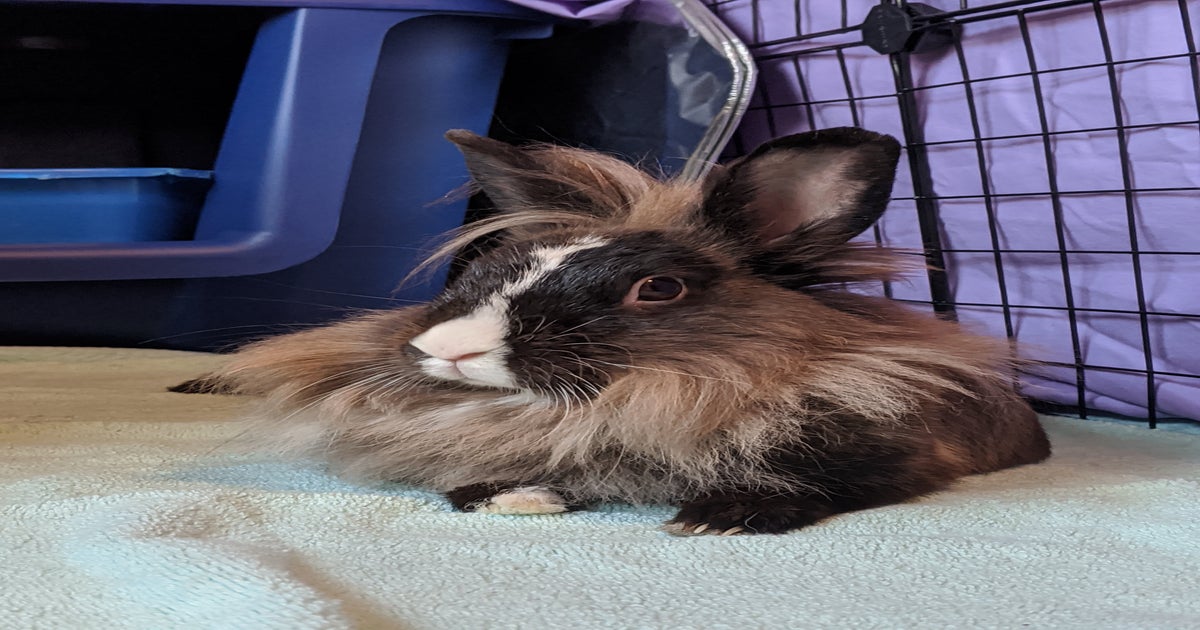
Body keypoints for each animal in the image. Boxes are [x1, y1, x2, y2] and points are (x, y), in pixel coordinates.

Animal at [212, 127, 1051, 536]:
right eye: (497, 265)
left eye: (659, 289)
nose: (447, 351)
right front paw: (507, 499)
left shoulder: (899, 449)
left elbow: (832, 480)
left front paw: (721, 518)